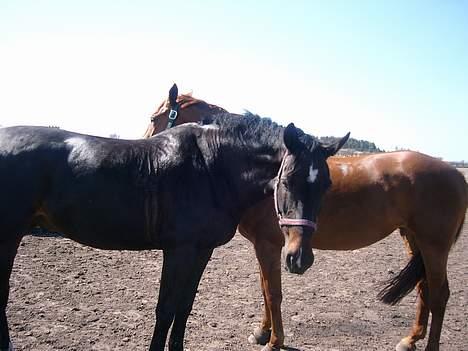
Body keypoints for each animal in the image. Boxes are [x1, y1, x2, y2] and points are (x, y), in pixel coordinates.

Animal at [0, 113, 348, 351]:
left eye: (326, 184)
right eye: (287, 180)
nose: (299, 259)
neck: (211, 167)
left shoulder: (202, 250)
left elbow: (184, 306)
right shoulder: (178, 250)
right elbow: (166, 309)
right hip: (8, 234)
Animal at [144, 85, 466, 351]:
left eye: (154, 118)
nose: (148, 148)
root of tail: (456, 174)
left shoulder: (270, 245)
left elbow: (273, 292)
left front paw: (274, 341)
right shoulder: (265, 247)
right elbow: (265, 289)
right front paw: (262, 333)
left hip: (435, 245)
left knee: (440, 295)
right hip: (413, 239)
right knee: (425, 289)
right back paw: (410, 340)